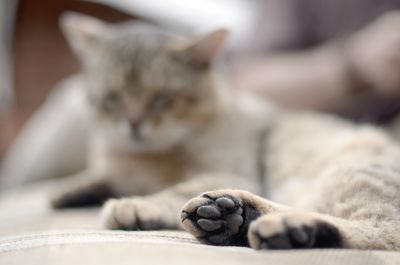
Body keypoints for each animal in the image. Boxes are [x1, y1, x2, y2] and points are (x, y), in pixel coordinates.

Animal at [51, 12, 400, 250]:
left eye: (162, 98)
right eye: (112, 98)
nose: (134, 123)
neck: (144, 157)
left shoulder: (229, 170)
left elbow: (172, 191)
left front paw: (136, 203)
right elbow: (100, 177)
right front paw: (69, 189)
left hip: (350, 173)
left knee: (383, 234)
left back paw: (289, 228)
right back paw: (234, 216)